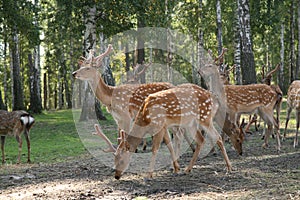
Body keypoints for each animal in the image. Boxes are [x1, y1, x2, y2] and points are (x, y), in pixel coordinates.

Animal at [94, 83, 232, 180]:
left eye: (122, 160)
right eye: (114, 159)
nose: (117, 176)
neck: (145, 118)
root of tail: (215, 100)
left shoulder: (159, 124)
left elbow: (155, 148)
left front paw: (149, 174)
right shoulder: (164, 127)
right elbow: (169, 144)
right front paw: (176, 168)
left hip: (205, 117)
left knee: (217, 137)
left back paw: (229, 168)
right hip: (191, 123)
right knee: (201, 140)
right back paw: (188, 169)